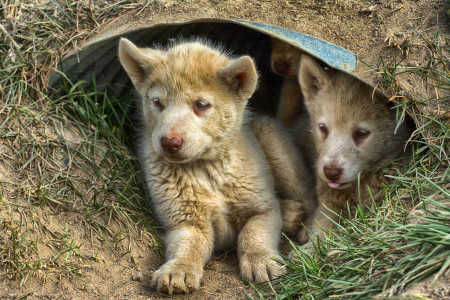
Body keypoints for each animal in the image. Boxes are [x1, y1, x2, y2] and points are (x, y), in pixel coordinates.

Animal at [116, 38, 312, 294]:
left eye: (201, 105)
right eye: (157, 103)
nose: (169, 142)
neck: (208, 171)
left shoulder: (262, 209)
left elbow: (253, 234)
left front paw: (261, 260)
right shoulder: (186, 220)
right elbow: (188, 246)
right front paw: (178, 269)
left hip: (274, 144)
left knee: (309, 195)